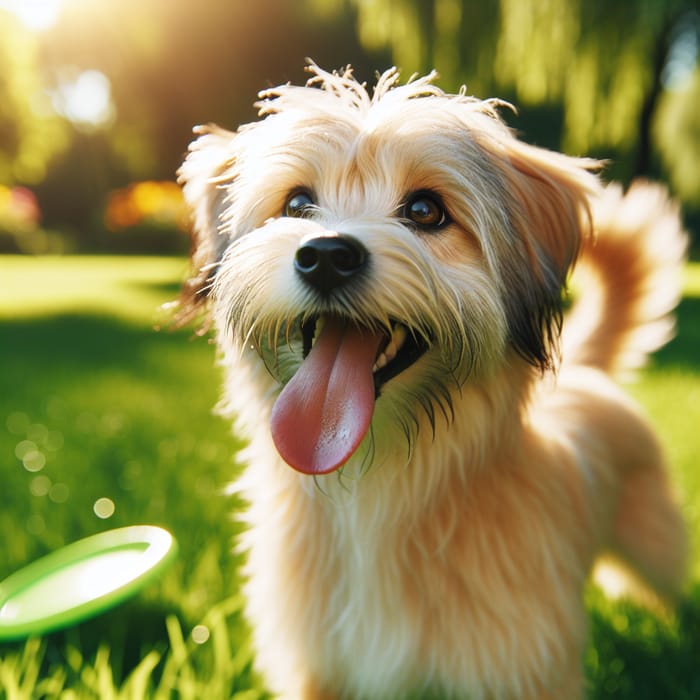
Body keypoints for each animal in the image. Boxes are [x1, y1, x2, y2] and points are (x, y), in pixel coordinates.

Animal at [176, 63, 688, 696]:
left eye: (425, 212)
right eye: (297, 202)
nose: (326, 255)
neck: (377, 484)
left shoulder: (518, 666)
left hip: (652, 540)